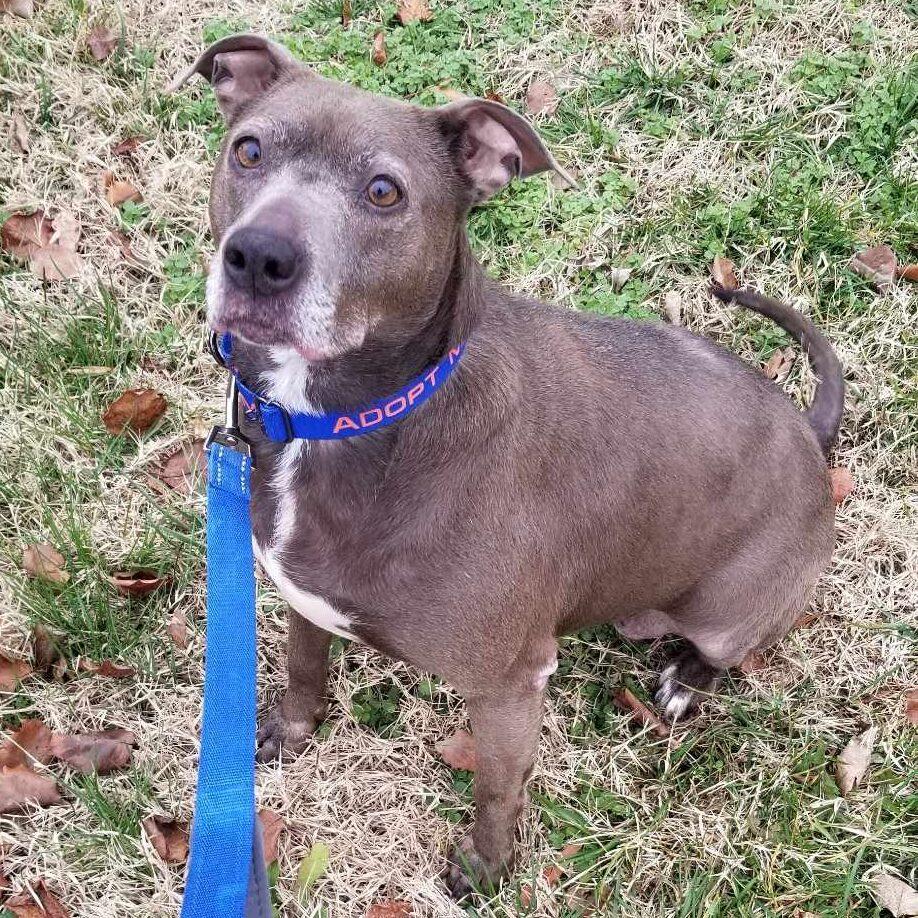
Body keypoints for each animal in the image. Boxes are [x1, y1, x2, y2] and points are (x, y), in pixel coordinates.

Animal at [171, 34, 844, 898]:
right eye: (248, 150)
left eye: (384, 191)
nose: (259, 256)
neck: (349, 419)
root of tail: (808, 432)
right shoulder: (299, 595)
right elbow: (301, 664)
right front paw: (291, 731)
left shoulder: (509, 684)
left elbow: (497, 789)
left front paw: (484, 870)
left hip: (729, 614)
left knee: (728, 647)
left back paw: (685, 680)